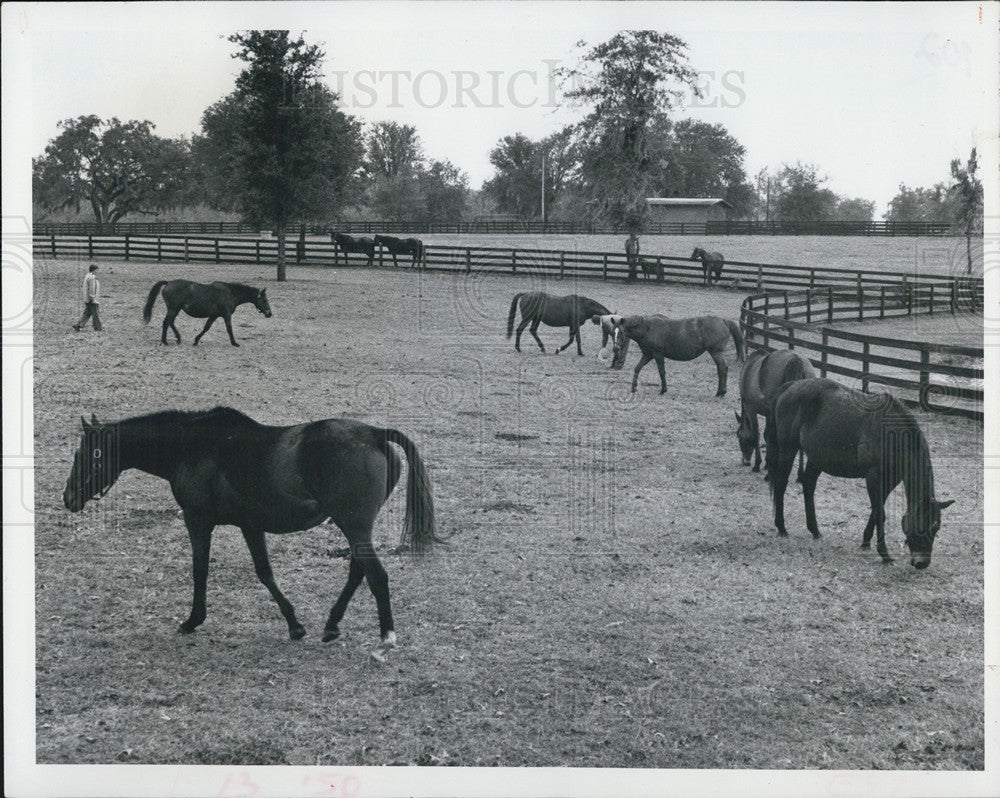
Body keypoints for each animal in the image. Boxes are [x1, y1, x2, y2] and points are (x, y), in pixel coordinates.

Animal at [60, 406, 440, 656]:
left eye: (89, 455)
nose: (68, 497)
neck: (195, 446)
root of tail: (374, 433)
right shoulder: (250, 525)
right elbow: (264, 572)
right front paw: (295, 624)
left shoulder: (199, 520)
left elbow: (206, 571)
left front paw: (193, 620)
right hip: (354, 527)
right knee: (358, 571)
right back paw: (332, 624)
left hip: (354, 525)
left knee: (375, 575)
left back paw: (386, 636)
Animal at [143, 280, 272, 346]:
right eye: (264, 300)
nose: (269, 314)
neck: (230, 293)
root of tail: (168, 283)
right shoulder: (226, 314)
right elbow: (229, 329)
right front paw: (234, 343)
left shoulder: (214, 315)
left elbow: (206, 328)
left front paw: (196, 340)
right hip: (173, 309)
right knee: (166, 323)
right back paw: (165, 341)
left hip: (176, 309)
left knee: (170, 322)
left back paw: (178, 338)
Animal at [608, 316, 744, 396]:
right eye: (613, 331)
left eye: (622, 332)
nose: (616, 348)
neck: (648, 328)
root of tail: (724, 321)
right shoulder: (648, 355)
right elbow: (637, 368)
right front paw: (633, 388)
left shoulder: (658, 354)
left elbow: (662, 372)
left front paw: (663, 390)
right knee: (721, 369)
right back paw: (720, 391)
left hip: (715, 352)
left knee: (723, 369)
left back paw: (721, 392)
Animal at [764, 380, 952, 568]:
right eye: (919, 525)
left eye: (936, 528)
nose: (922, 563)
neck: (895, 437)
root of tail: (790, 386)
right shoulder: (873, 478)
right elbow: (880, 514)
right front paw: (884, 554)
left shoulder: (889, 482)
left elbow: (876, 511)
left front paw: (866, 541)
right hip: (788, 449)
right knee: (781, 485)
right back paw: (781, 528)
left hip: (817, 459)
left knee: (808, 485)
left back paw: (815, 530)